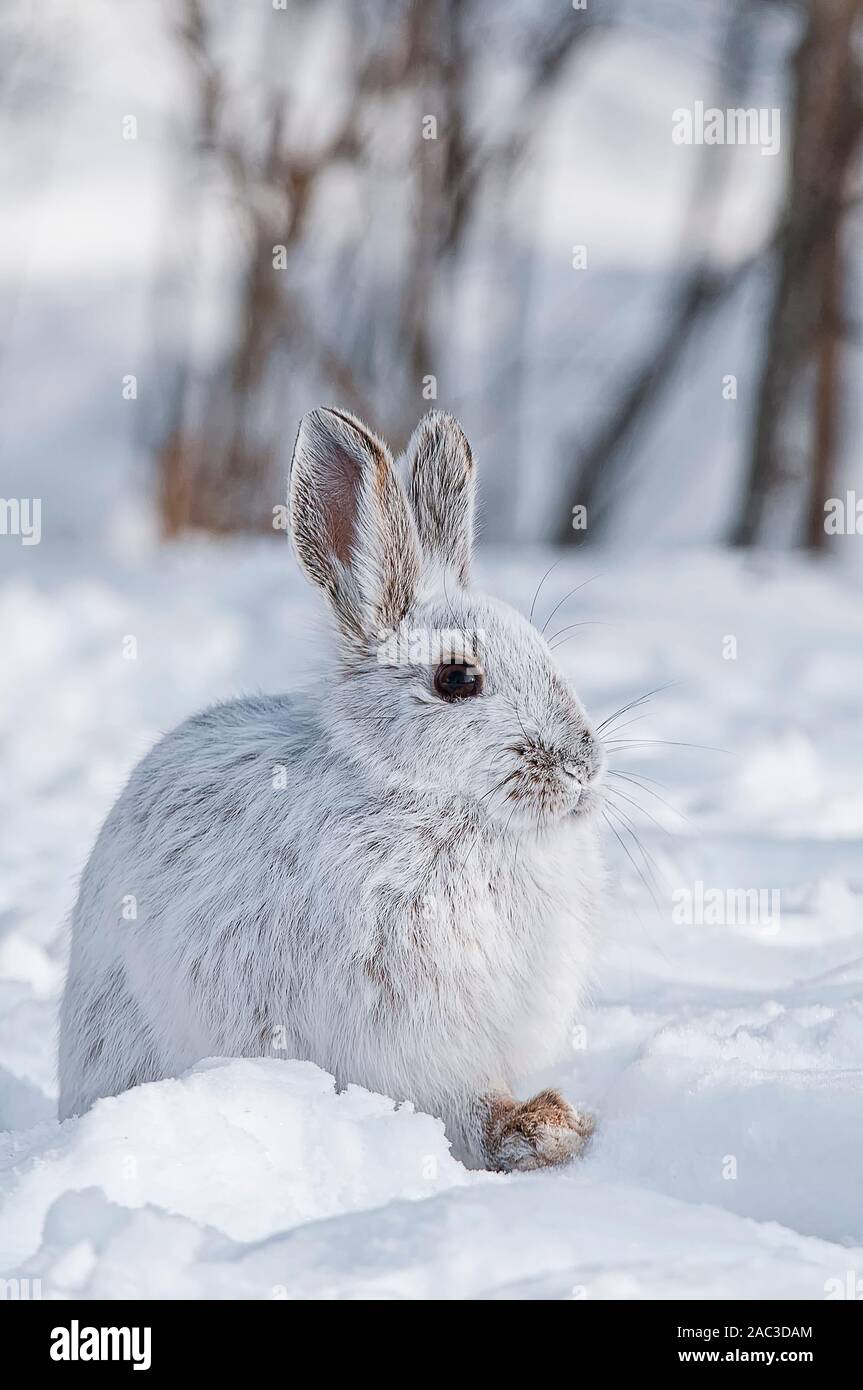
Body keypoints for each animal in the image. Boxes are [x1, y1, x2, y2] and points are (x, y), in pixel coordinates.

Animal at [58, 407, 607, 1171]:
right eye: (456, 678)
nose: (581, 765)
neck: (431, 803)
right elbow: (464, 1107)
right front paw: (538, 1129)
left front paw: (554, 1123)